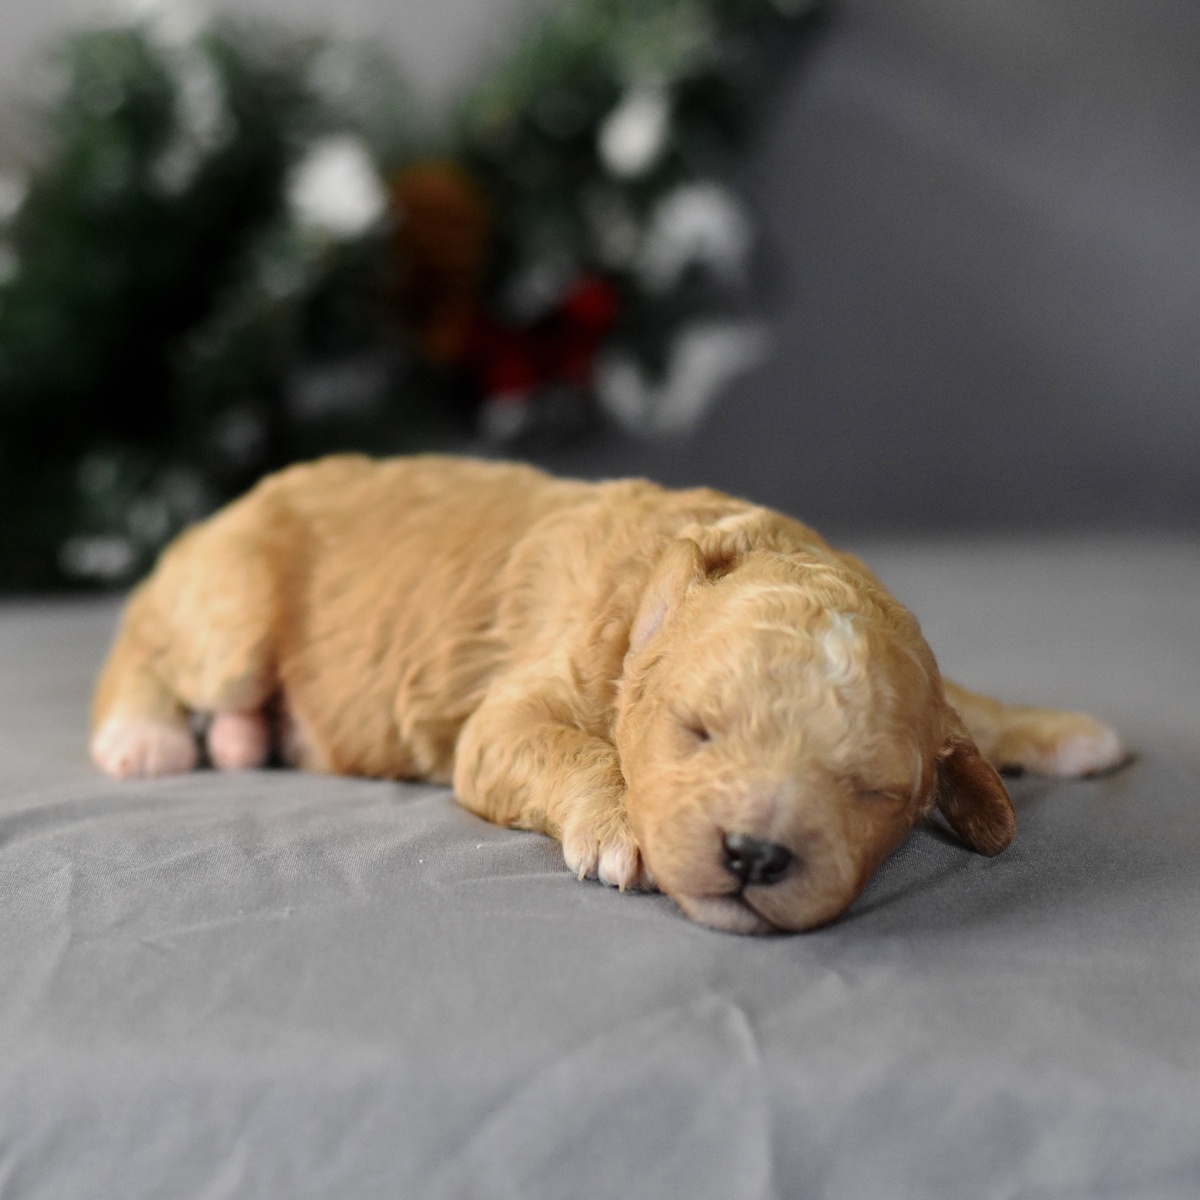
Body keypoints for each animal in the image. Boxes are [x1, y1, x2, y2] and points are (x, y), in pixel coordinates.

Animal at [91, 455, 1126, 933]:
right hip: (230, 604)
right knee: (144, 642)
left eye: (869, 790)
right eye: (697, 732)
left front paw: (1065, 731)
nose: (755, 855)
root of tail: (219, 511)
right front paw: (623, 824)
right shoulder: (511, 711)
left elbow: (967, 703)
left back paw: (238, 739)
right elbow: (565, 745)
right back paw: (146, 736)